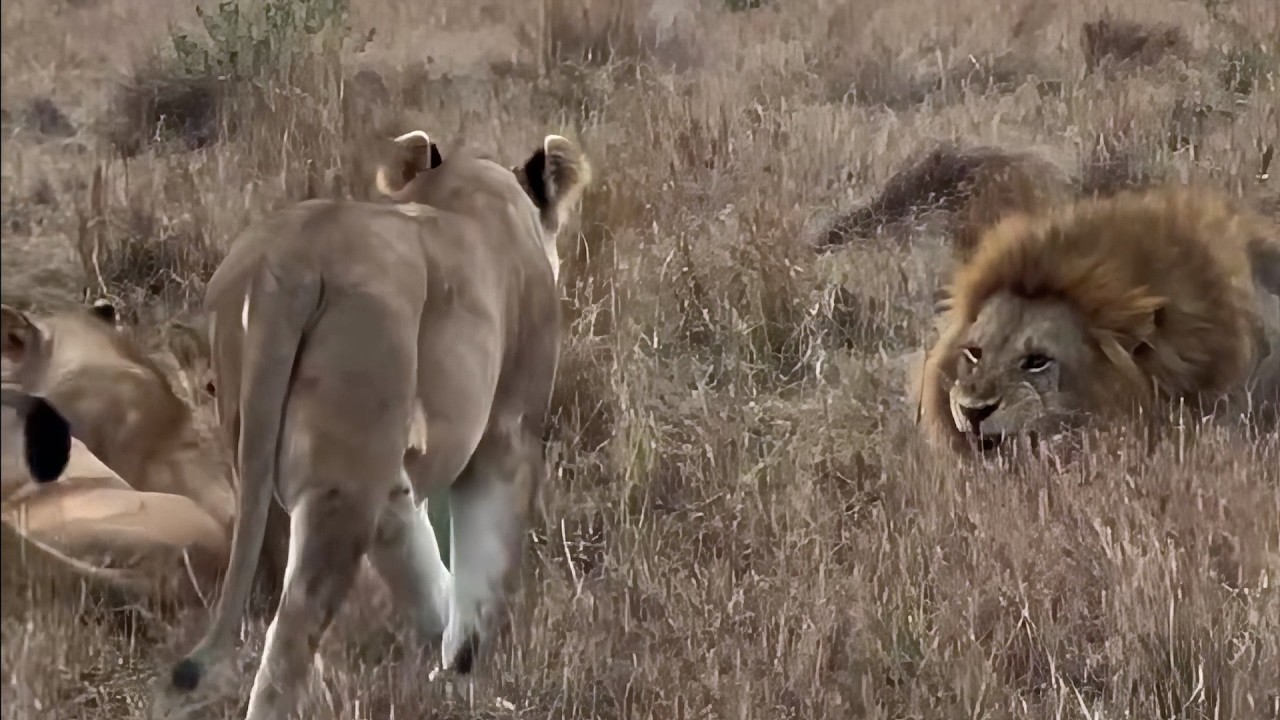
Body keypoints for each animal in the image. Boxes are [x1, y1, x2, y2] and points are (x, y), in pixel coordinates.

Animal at [158, 130, 591, 719]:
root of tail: (289, 260)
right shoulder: (510, 431)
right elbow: (482, 572)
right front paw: (466, 679)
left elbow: (421, 555)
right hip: (345, 478)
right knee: (292, 631)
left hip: (261, 468)